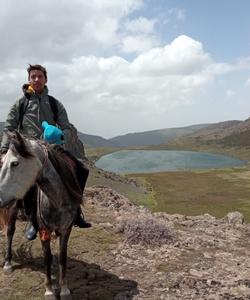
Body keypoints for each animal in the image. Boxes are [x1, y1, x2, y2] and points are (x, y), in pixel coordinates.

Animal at [0, 132, 86, 300]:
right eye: (2, 162)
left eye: (15, 163)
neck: (57, 199)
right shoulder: (43, 229)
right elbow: (47, 257)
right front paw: (49, 291)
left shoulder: (66, 229)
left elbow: (63, 257)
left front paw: (64, 289)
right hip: (13, 207)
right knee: (10, 232)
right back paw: (8, 263)